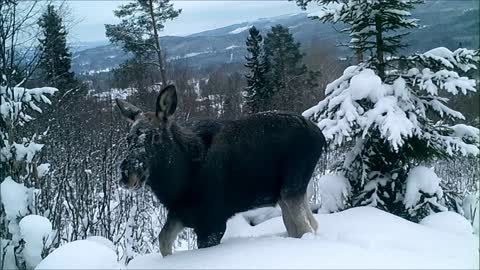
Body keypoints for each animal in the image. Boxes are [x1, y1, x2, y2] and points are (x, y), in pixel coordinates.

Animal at [116, 85, 326, 256]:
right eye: (127, 139)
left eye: (155, 136)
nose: (127, 175)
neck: (177, 181)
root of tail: (320, 135)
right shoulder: (180, 214)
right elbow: (163, 241)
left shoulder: (213, 222)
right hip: (285, 195)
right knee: (310, 225)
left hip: (291, 188)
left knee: (305, 228)